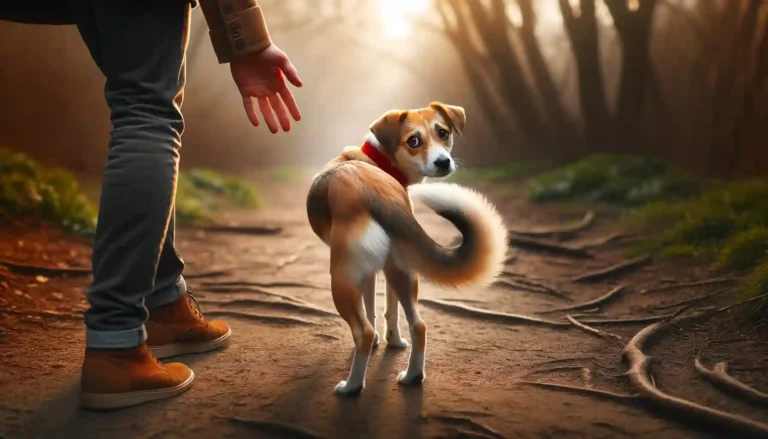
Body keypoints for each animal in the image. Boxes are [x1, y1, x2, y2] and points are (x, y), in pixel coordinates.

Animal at [306, 102, 510, 396]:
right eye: (413, 141)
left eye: (443, 133)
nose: (443, 162)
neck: (379, 161)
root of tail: (376, 192)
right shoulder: (378, 270)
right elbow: (385, 309)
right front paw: (393, 341)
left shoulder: (366, 274)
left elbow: (372, 312)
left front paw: (380, 342)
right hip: (403, 271)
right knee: (419, 325)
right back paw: (413, 376)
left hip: (341, 281)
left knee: (363, 333)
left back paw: (351, 386)